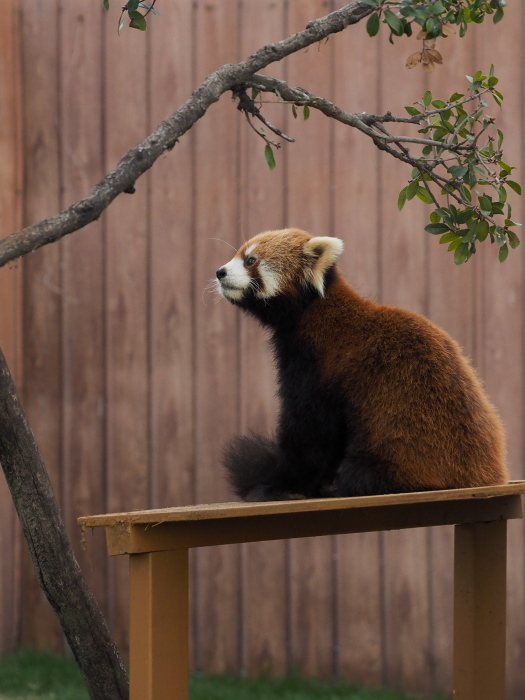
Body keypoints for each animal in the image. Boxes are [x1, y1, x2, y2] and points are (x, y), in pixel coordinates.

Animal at [214, 228, 508, 498]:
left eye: (250, 260)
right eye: (238, 255)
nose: (220, 272)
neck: (310, 312)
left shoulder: (316, 366)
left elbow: (310, 430)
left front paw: (281, 484)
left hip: (400, 451)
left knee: (362, 471)